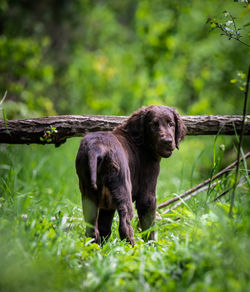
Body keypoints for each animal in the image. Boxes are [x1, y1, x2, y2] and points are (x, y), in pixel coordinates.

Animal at [75, 105, 187, 244]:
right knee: (124, 225)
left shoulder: (108, 204)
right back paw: (133, 246)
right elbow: (149, 227)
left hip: (88, 192)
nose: (167, 141)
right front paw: (151, 245)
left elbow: (104, 228)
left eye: (171, 124)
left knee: (92, 229)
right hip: (123, 187)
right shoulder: (148, 194)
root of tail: (96, 148)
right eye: (153, 125)